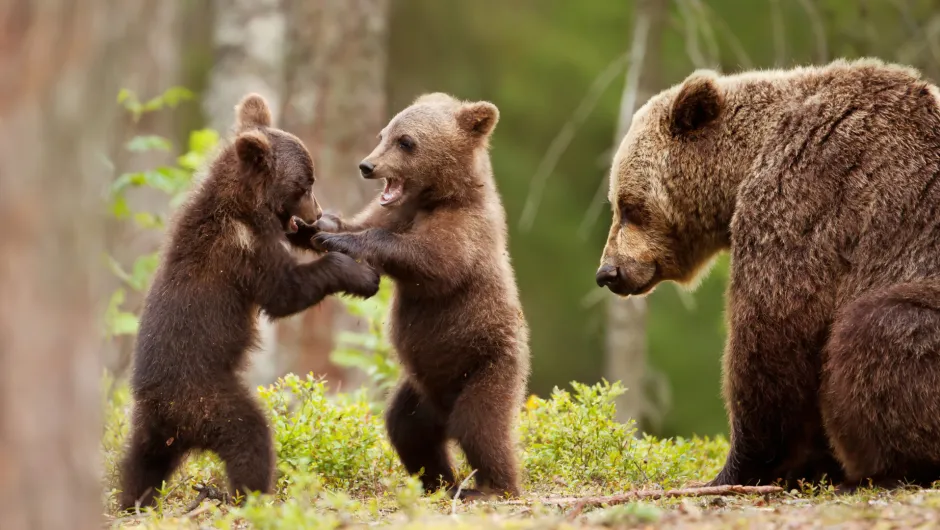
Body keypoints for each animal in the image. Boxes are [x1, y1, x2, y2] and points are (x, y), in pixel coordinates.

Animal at [117, 93, 378, 510]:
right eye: (305, 184)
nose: (317, 211)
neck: (246, 208)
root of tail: (166, 414)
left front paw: (329, 233)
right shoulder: (241, 252)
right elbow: (284, 292)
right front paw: (359, 274)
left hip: (152, 427)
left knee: (140, 462)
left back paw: (133, 499)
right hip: (206, 397)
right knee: (249, 434)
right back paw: (247, 493)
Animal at [308, 93, 528, 498]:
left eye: (406, 141)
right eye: (383, 134)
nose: (367, 165)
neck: (437, 197)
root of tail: (443, 408)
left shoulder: (466, 231)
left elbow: (432, 261)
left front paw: (341, 239)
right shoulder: (396, 211)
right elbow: (365, 223)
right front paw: (323, 223)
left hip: (487, 366)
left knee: (481, 426)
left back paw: (492, 486)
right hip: (420, 391)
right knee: (407, 429)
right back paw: (439, 481)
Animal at [600, 56, 940, 486]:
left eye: (629, 207)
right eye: (617, 203)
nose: (608, 272)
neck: (745, 163)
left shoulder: (808, 196)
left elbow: (773, 333)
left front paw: (737, 468)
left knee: (877, 327)